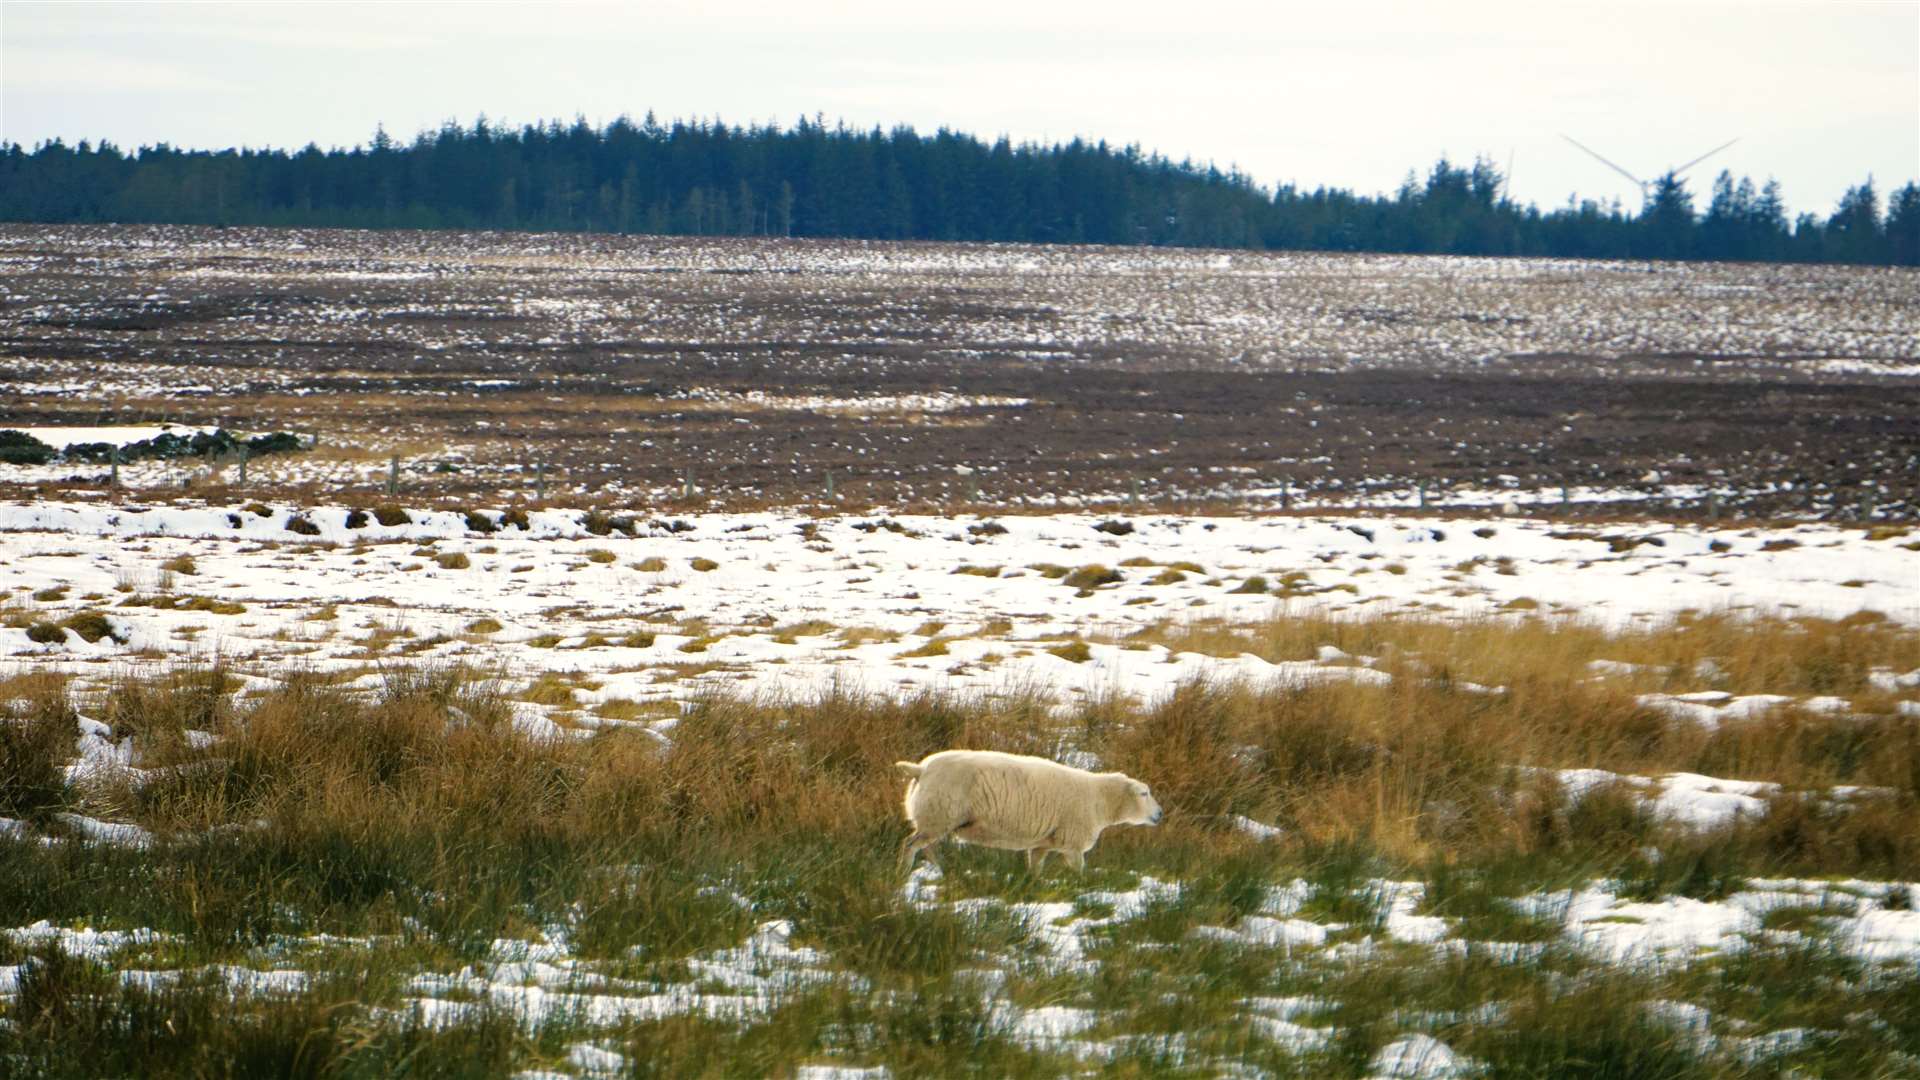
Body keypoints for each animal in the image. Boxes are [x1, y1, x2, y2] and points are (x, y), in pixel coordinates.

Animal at [890, 745, 1159, 868]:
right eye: (1144, 793)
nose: (1160, 814)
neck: (1100, 801)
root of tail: (920, 769)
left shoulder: (1042, 844)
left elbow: (1035, 868)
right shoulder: (1072, 843)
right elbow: (1078, 872)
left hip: (935, 819)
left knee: (927, 848)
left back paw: (940, 871)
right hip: (938, 815)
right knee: (910, 845)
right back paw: (904, 871)